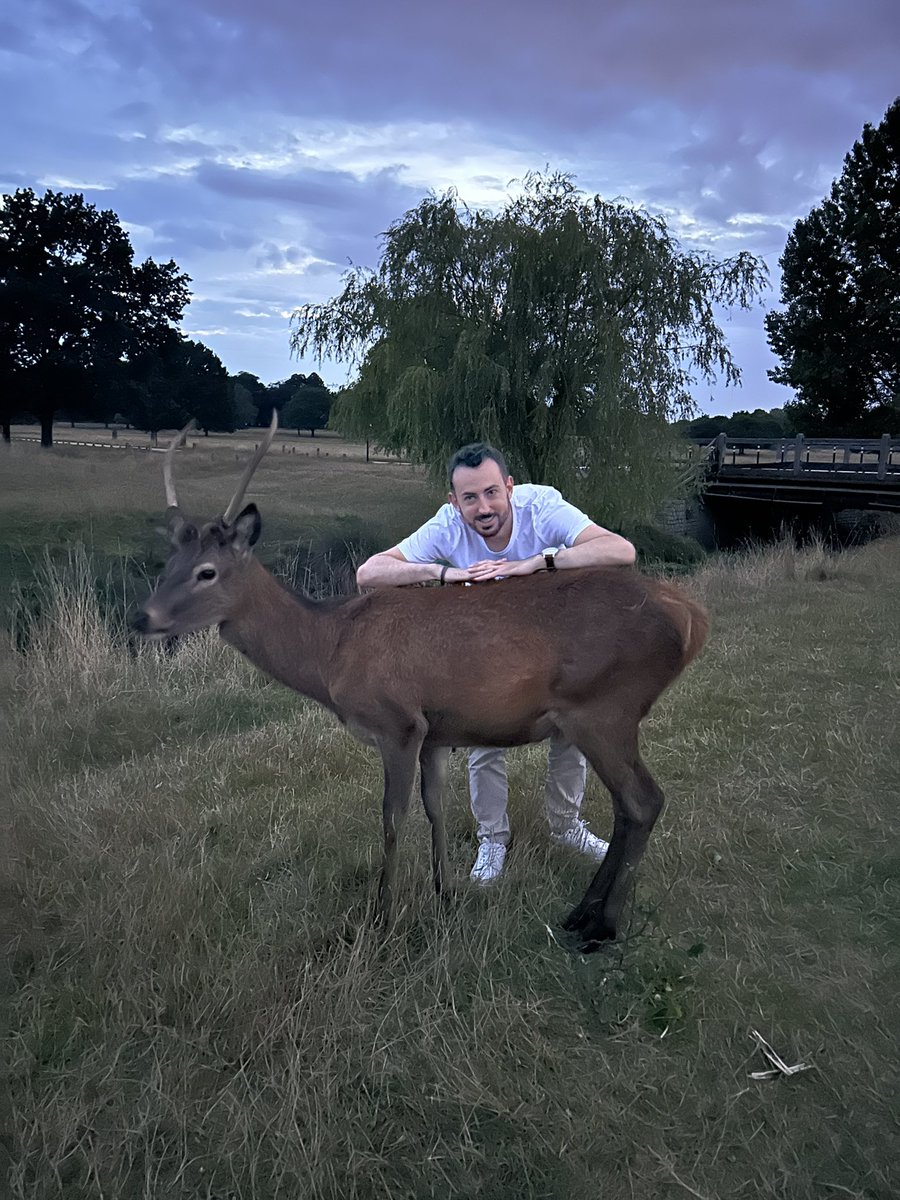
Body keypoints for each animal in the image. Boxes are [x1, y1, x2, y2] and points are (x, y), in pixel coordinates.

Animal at [132, 416, 709, 948]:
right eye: (168, 563)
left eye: (207, 571)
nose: (142, 617)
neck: (330, 652)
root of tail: (690, 617)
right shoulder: (437, 732)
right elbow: (437, 808)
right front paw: (445, 893)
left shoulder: (398, 723)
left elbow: (393, 817)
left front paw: (381, 918)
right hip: (601, 714)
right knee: (627, 807)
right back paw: (583, 912)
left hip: (604, 705)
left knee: (643, 801)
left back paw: (600, 925)